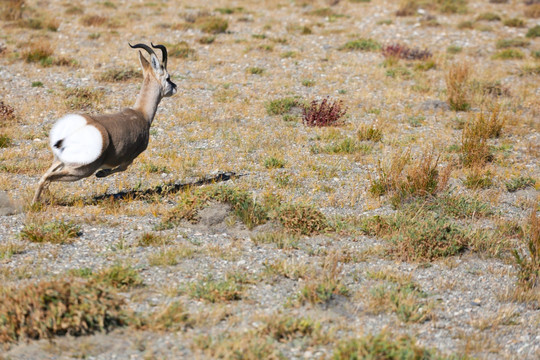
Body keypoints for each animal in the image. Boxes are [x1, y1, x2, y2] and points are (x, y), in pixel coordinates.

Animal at [31, 43, 177, 202]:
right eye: (168, 77)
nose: (175, 87)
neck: (141, 114)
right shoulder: (129, 158)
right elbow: (122, 168)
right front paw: (101, 173)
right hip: (81, 170)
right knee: (46, 178)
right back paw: (35, 204)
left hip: (59, 161)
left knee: (44, 177)